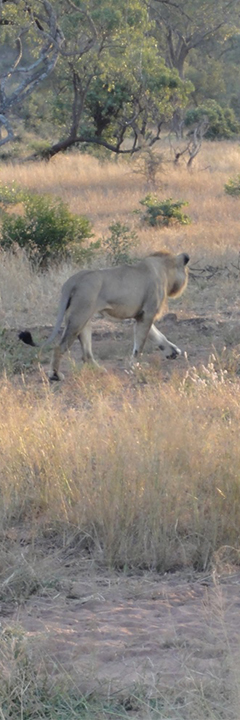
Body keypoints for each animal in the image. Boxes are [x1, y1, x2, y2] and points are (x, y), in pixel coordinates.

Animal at [19, 250, 189, 380]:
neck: (164, 269)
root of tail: (73, 280)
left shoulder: (140, 315)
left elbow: (157, 335)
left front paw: (173, 352)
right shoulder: (147, 314)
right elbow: (140, 344)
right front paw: (136, 365)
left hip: (84, 319)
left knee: (86, 354)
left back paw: (98, 370)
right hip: (79, 316)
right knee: (59, 347)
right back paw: (55, 375)